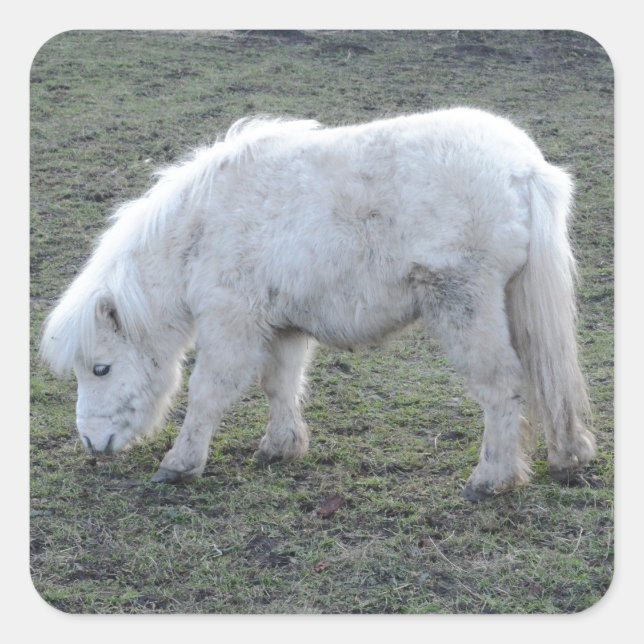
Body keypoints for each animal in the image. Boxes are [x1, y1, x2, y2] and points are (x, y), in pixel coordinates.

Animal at [40, 107, 595, 501]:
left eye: (101, 368)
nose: (91, 445)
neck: (204, 224)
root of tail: (526, 169)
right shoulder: (281, 326)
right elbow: (279, 384)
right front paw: (280, 448)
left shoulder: (231, 323)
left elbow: (207, 393)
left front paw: (180, 465)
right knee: (547, 379)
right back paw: (566, 457)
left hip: (466, 306)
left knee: (501, 385)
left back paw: (491, 479)